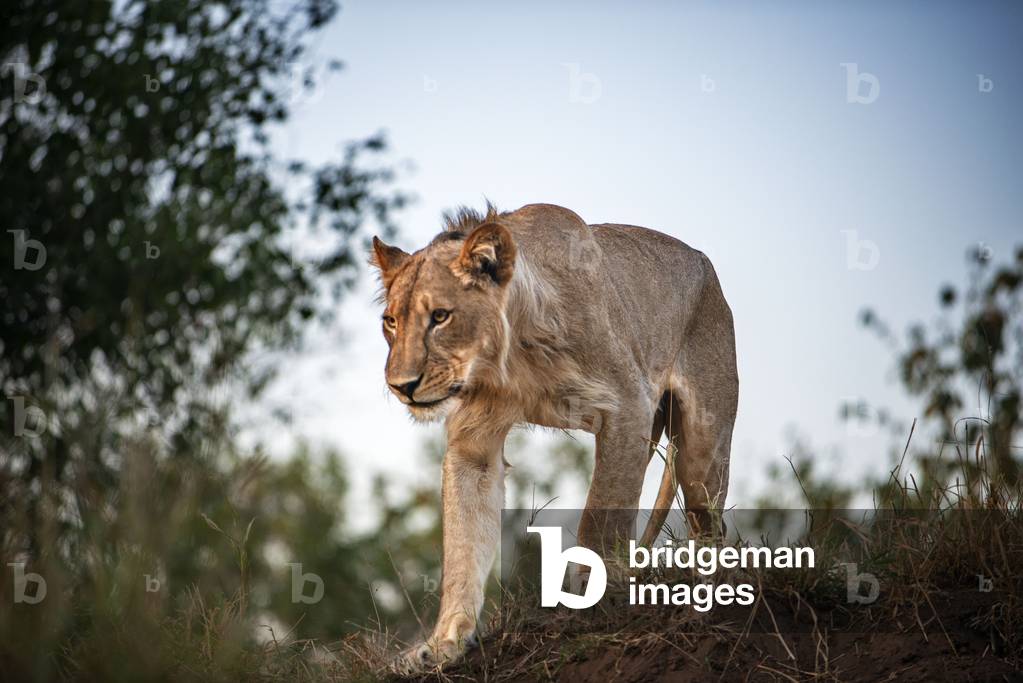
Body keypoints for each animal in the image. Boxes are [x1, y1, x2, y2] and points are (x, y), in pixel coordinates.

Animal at [370, 203, 738, 671]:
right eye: (391, 322)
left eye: (440, 316)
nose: (402, 386)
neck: (513, 354)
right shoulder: (473, 440)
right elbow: (462, 544)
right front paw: (444, 643)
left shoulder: (628, 405)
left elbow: (600, 518)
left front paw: (590, 601)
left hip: (702, 451)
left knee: (710, 523)